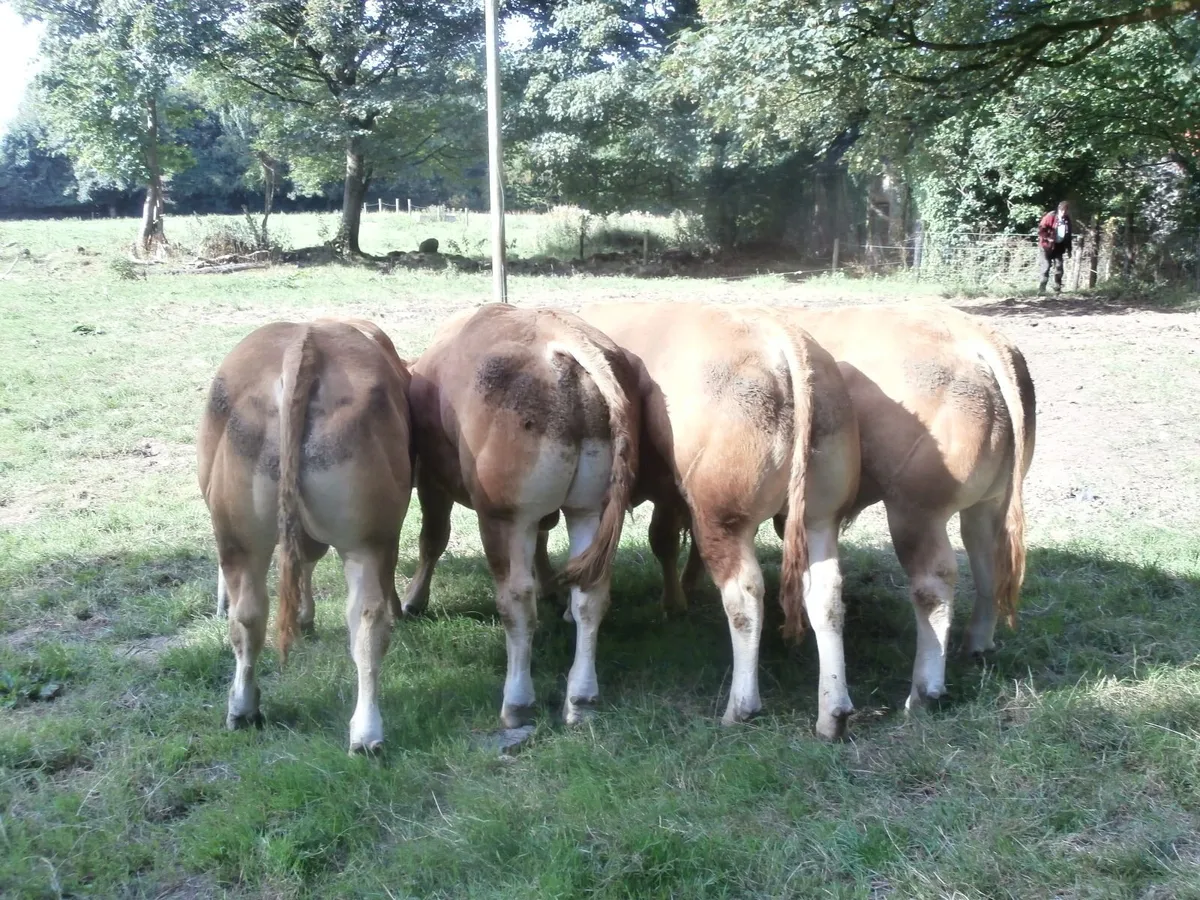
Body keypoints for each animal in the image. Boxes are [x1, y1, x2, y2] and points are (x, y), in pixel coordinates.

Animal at [403, 303, 639, 728]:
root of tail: (562, 339)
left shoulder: (431, 477)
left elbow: (432, 539)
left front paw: (413, 599)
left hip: (504, 518)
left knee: (516, 602)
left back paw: (517, 701)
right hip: (589, 509)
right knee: (591, 594)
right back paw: (581, 697)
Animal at [558, 302, 862, 739]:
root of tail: (781, 338)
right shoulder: (670, 496)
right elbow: (662, 539)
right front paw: (674, 601)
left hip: (723, 519)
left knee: (745, 596)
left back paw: (741, 706)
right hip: (820, 518)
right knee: (827, 596)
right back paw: (832, 713)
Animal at [677, 303, 1036, 711]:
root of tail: (977, 338)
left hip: (916, 511)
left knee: (934, 583)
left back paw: (922, 691)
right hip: (988, 504)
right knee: (988, 564)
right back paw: (977, 644)